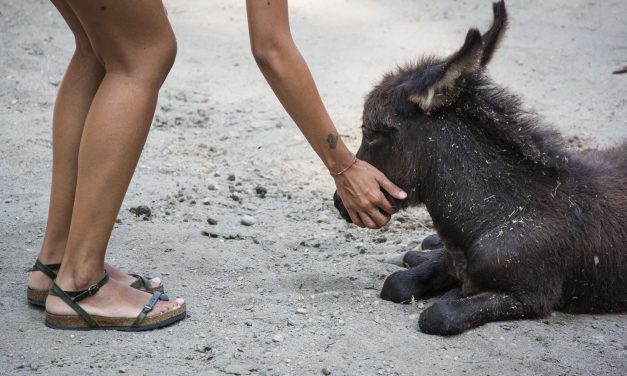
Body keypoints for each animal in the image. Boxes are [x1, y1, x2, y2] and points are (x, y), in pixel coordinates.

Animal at [336, 0, 624, 334]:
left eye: (374, 133)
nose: (339, 202)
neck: (499, 216)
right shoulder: (455, 261)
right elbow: (397, 284)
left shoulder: (532, 297)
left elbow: (439, 314)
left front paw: (449, 293)